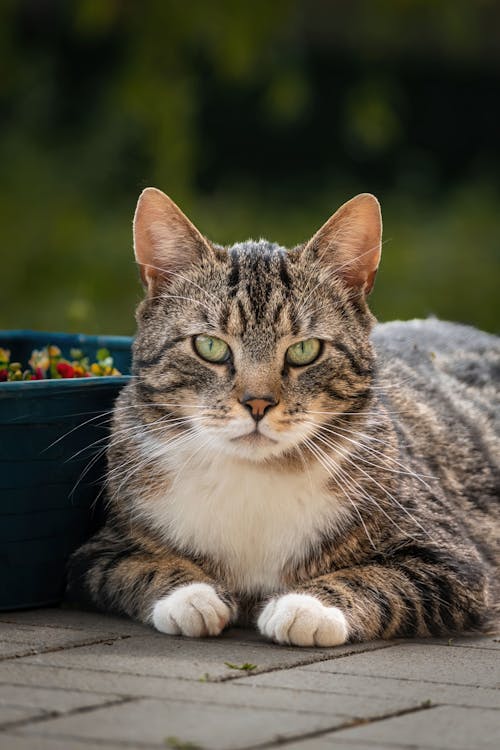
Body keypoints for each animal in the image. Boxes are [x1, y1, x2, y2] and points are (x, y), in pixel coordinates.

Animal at [66, 189, 500, 648]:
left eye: (305, 350)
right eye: (209, 346)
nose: (258, 403)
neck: (255, 478)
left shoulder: (455, 562)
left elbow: (381, 579)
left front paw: (307, 606)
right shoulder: (94, 554)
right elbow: (138, 566)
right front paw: (191, 596)